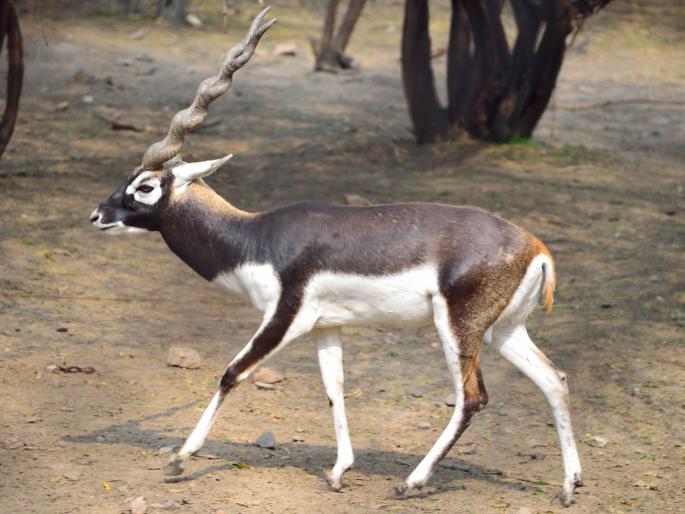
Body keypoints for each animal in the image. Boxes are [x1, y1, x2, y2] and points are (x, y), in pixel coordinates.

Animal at [90, 8, 582, 506]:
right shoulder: (326, 327)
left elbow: (231, 373)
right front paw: (339, 469)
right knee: (554, 380)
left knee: (473, 397)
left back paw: (411, 482)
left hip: (458, 328)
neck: (255, 237)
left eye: (145, 186)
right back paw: (569, 486)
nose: (98, 215)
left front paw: (179, 459)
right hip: (504, 330)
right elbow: (335, 388)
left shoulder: (285, 316)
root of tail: (536, 247)